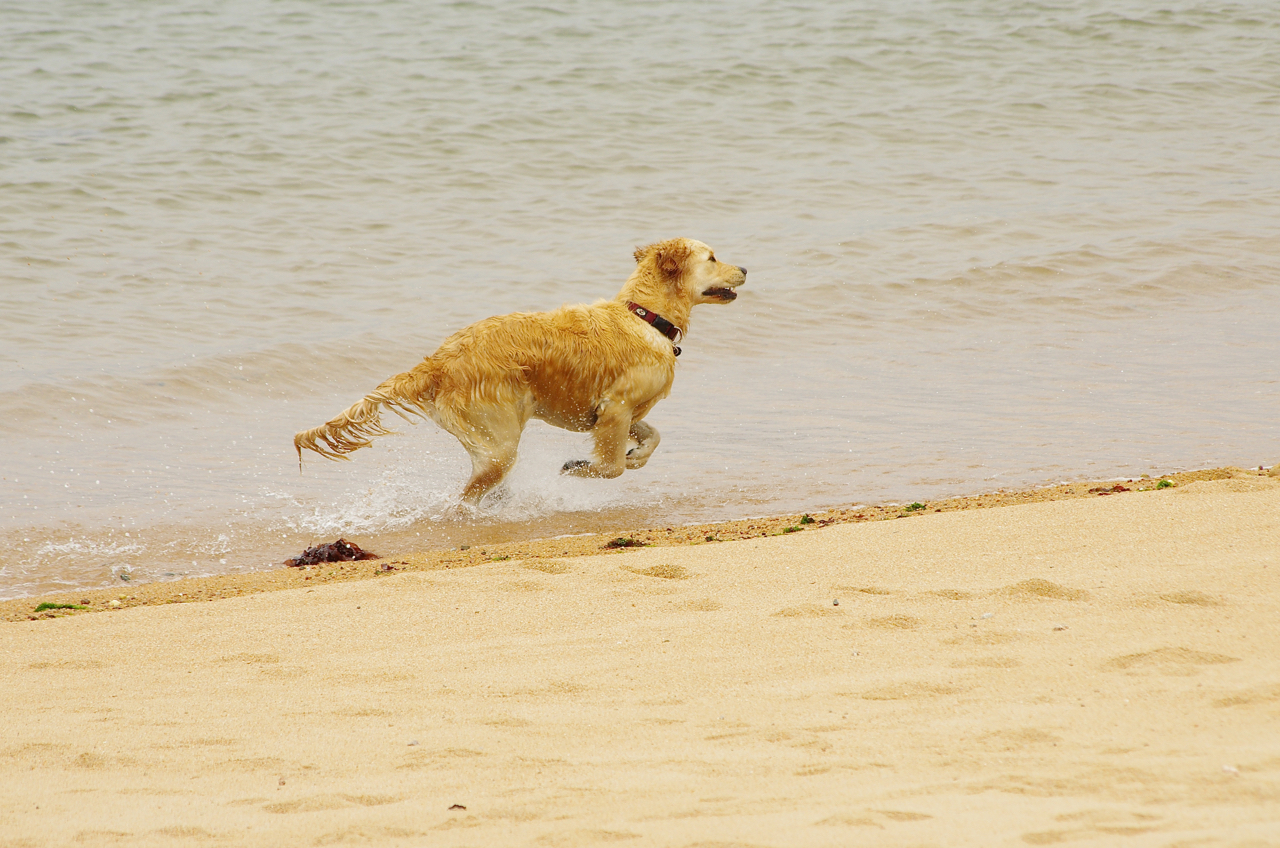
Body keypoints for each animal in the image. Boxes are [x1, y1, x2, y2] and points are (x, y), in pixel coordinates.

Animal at [293, 239, 747, 504]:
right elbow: (610, 467)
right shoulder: (616, 408)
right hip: (499, 443)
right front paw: (579, 467)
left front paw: (636, 454)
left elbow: (651, 438)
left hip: (488, 443)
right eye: (712, 258)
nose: (745, 268)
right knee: (466, 498)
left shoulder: (615, 413)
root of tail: (438, 360)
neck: (645, 316)